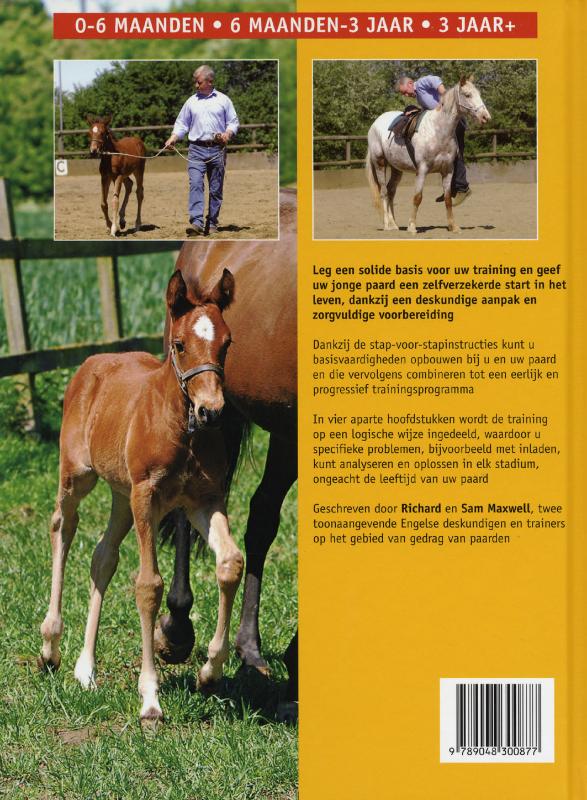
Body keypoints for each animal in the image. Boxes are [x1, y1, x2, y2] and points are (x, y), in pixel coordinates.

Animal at [39, 268, 243, 722]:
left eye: (226, 343)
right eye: (180, 344)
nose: (212, 411)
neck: (181, 429)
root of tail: (93, 361)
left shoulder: (205, 501)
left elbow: (230, 563)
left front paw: (210, 673)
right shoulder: (147, 496)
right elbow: (148, 585)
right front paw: (150, 698)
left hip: (120, 494)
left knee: (102, 556)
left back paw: (85, 669)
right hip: (78, 477)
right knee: (63, 527)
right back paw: (49, 648)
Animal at [366, 77, 491, 234]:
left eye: (478, 93)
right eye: (467, 95)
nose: (485, 117)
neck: (438, 131)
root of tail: (374, 125)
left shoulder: (448, 170)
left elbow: (448, 199)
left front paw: (453, 226)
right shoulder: (422, 170)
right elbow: (417, 197)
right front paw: (412, 226)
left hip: (396, 168)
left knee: (391, 191)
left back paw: (394, 223)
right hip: (380, 163)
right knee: (383, 192)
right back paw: (388, 225)